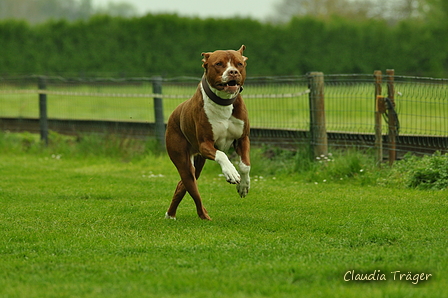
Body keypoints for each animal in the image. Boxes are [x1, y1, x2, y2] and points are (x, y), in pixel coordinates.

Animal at [164, 44, 250, 221]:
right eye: (219, 64)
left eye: (239, 64)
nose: (233, 72)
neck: (224, 102)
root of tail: (174, 113)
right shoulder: (205, 145)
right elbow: (222, 155)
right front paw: (231, 173)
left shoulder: (243, 138)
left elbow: (245, 165)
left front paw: (244, 186)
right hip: (183, 160)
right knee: (193, 189)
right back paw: (204, 216)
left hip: (198, 161)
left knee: (182, 185)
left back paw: (171, 214)